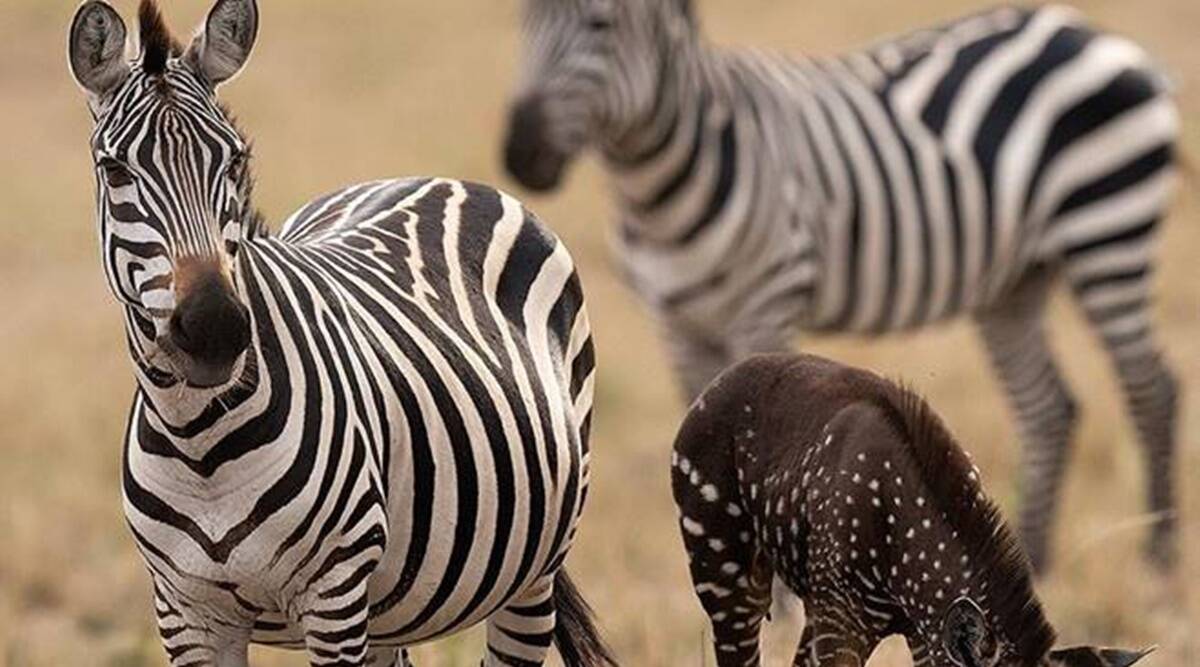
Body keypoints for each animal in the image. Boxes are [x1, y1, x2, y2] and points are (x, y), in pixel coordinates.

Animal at [68, 1, 614, 665]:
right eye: (114, 169)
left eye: (234, 159)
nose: (215, 327)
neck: (200, 440)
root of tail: (433, 178)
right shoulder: (186, 612)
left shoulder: (334, 595)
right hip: (387, 611)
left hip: (533, 572)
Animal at [503, 0, 1181, 574]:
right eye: (522, 20)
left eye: (600, 26)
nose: (520, 156)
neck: (657, 192)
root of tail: (1087, 30)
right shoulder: (675, 324)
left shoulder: (768, 303)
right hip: (1013, 282)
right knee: (1048, 408)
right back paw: (1033, 562)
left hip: (1107, 230)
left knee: (1151, 389)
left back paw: (1158, 556)